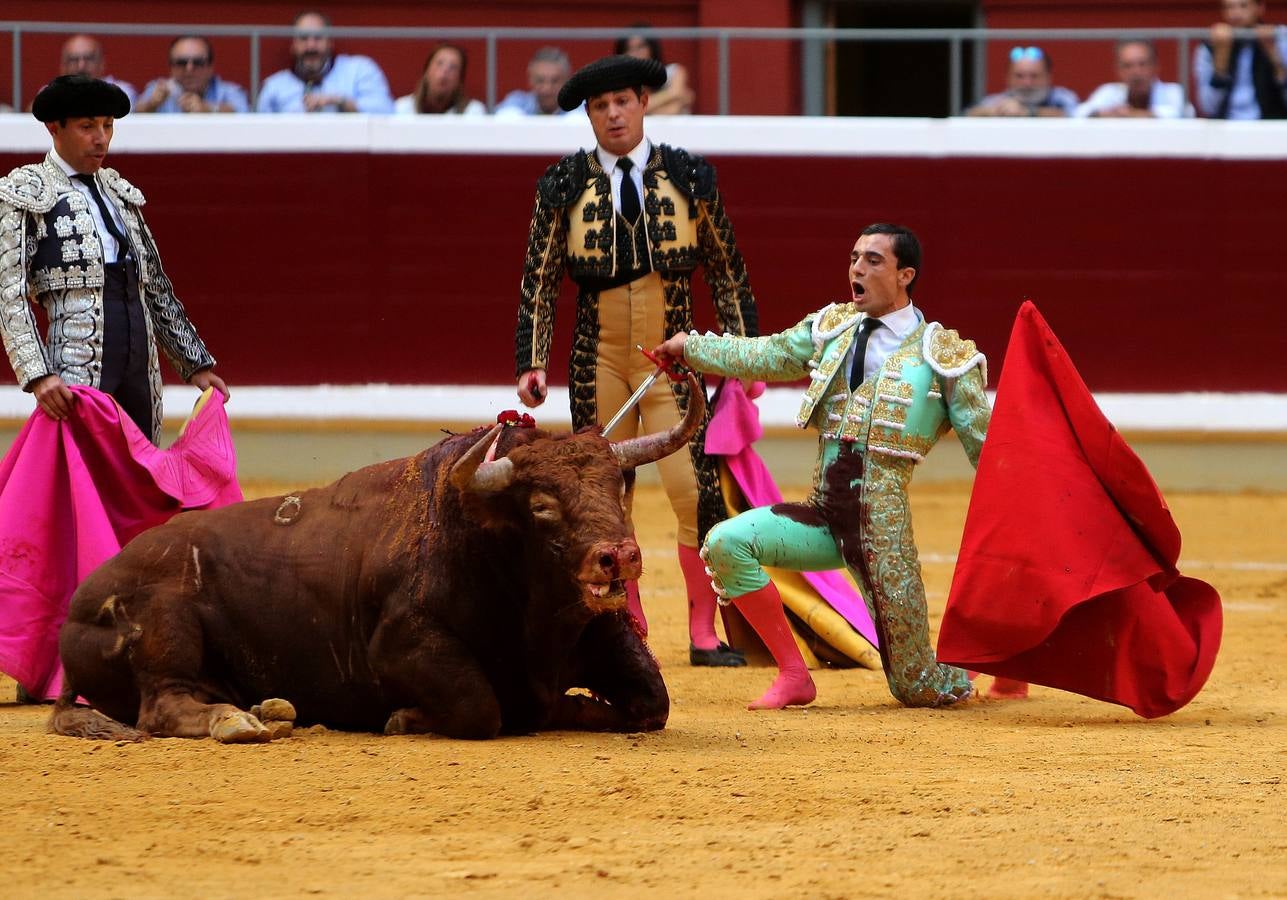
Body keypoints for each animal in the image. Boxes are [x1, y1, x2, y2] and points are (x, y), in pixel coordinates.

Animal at [47, 375, 705, 741]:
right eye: (541, 505)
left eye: (618, 486)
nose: (617, 557)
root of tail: (79, 603)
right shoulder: (398, 643)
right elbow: (480, 705)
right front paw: (407, 719)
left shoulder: (603, 631)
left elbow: (652, 701)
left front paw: (570, 705)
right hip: (167, 621)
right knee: (162, 705)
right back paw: (238, 722)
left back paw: (268, 708)